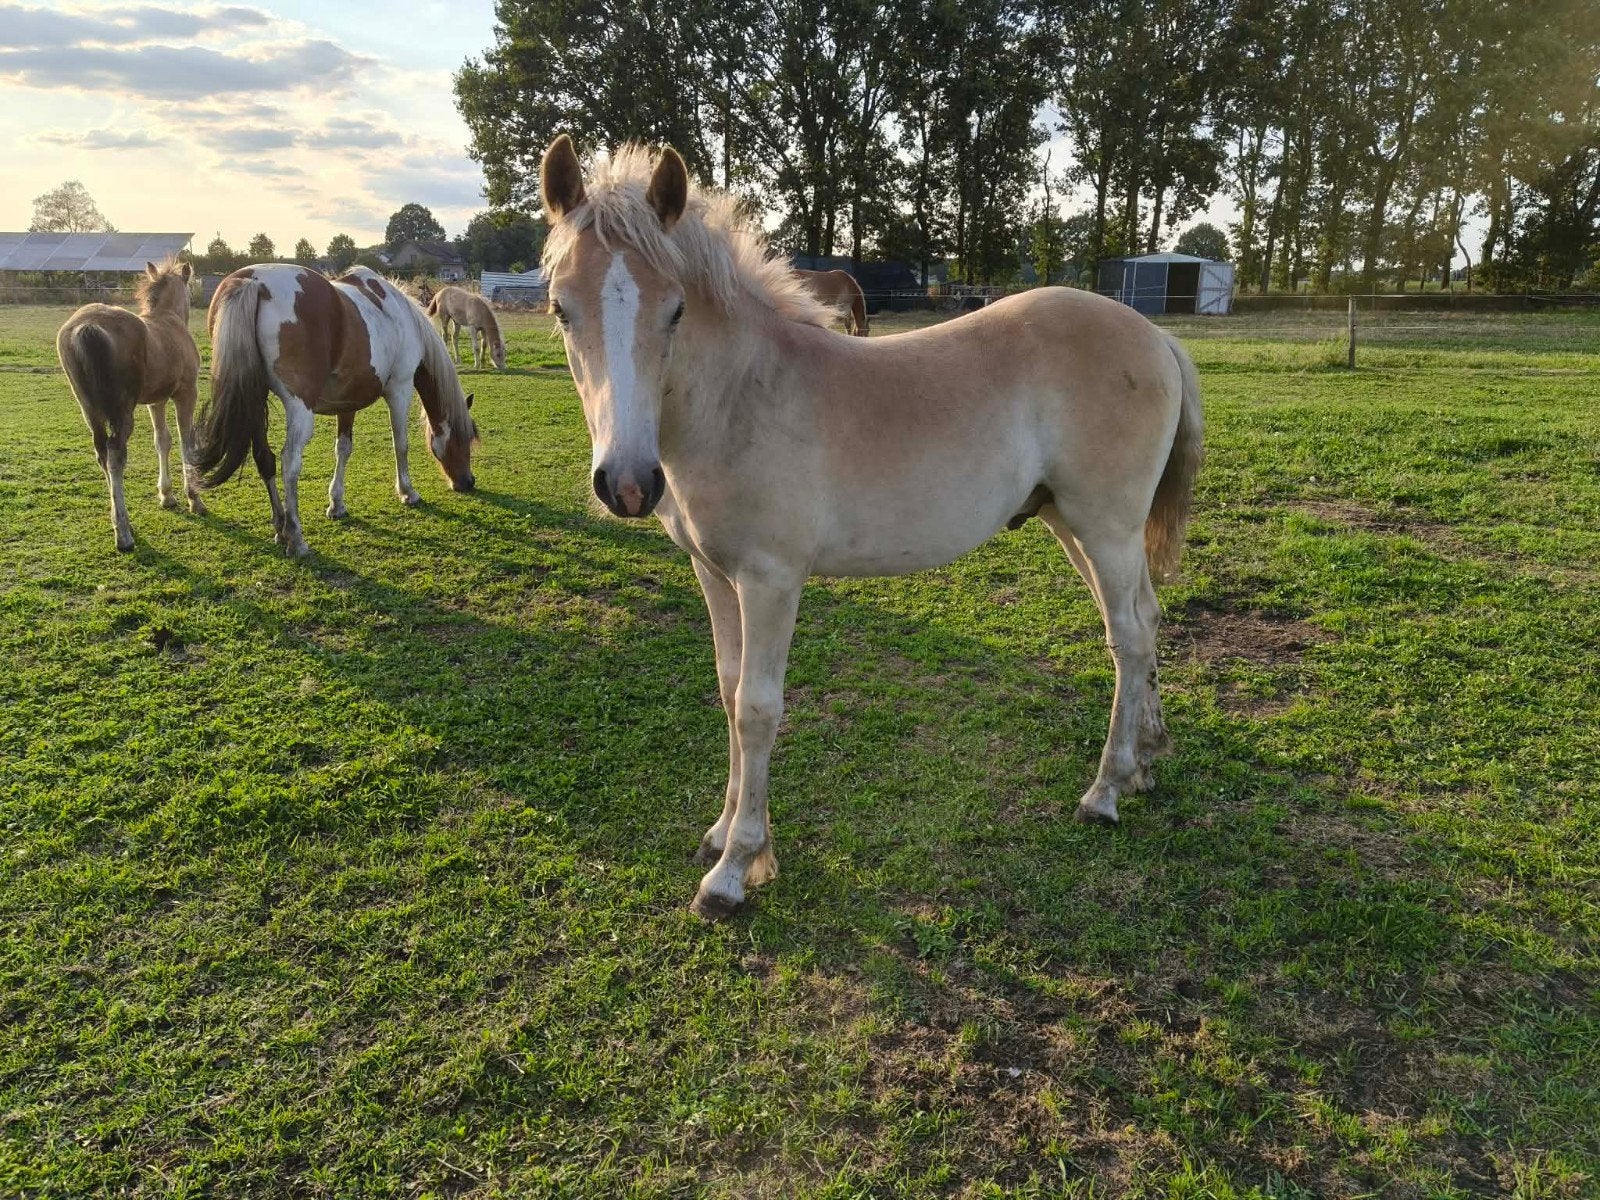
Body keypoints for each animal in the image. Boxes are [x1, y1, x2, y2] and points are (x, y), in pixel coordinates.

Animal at [56, 260, 203, 551]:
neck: (169, 319)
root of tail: (85, 327)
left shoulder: (156, 400)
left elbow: (162, 441)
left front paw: (167, 496)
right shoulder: (186, 393)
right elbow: (186, 442)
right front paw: (194, 499)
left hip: (90, 410)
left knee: (101, 453)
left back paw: (120, 522)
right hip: (121, 410)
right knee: (115, 455)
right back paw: (123, 534)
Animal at [193, 264, 478, 558]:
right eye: (468, 438)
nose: (468, 482)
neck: (401, 316)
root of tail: (252, 282)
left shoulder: (347, 403)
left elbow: (343, 449)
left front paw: (336, 503)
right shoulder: (399, 389)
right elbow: (401, 444)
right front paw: (407, 492)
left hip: (255, 399)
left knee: (265, 458)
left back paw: (280, 527)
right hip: (299, 409)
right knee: (289, 462)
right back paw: (295, 537)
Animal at [538, 135, 1204, 920]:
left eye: (674, 312)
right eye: (560, 309)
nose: (628, 484)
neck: (740, 398)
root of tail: (1157, 336)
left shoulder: (771, 579)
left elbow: (758, 709)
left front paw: (736, 869)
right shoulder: (713, 572)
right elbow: (729, 691)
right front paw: (721, 833)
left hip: (1106, 528)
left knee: (1127, 637)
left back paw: (1104, 792)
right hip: (1072, 524)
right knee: (1144, 623)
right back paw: (1145, 762)